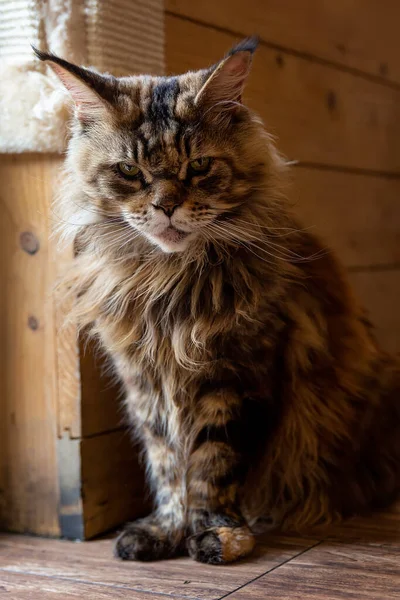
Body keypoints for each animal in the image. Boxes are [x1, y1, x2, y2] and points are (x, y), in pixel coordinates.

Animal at [34, 39, 400, 564]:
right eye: (129, 171)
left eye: (199, 166)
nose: (166, 205)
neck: (167, 281)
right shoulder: (145, 380)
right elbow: (167, 464)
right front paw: (165, 530)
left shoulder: (235, 373)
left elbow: (212, 464)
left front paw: (216, 534)